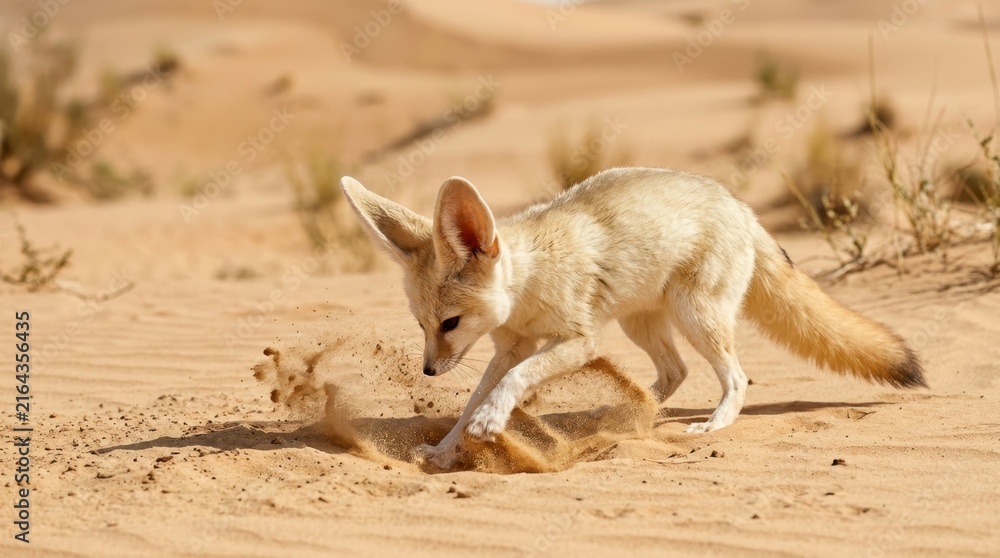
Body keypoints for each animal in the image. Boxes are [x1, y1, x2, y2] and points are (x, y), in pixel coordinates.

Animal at [340, 167, 925, 469]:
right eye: (422, 325)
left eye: (450, 324)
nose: (427, 371)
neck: (530, 281)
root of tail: (742, 208)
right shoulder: (510, 346)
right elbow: (475, 399)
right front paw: (445, 449)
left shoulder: (577, 341)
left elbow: (511, 383)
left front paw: (488, 423)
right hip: (641, 324)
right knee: (675, 373)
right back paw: (625, 412)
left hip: (695, 316)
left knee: (735, 377)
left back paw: (713, 423)